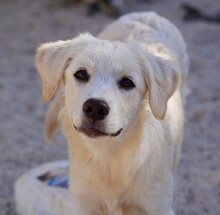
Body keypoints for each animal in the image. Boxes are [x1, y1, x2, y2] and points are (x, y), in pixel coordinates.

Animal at [35, 12, 189, 215]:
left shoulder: (158, 205)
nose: (95, 107)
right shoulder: (85, 205)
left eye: (127, 82)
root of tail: (148, 14)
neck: (108, 156)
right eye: (81, 74)